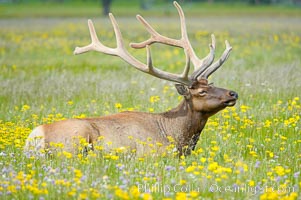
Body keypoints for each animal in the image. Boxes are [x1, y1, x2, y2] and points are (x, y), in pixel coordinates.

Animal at [24, 1, 238, 156]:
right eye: (202, 91)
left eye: (212, 83)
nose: (233, 93)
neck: (177, 136)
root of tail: (36, 137)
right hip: (75, 141)